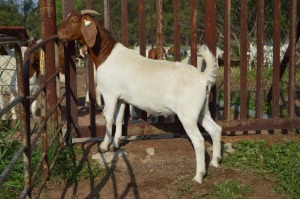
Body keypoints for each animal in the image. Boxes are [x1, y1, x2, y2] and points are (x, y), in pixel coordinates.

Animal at [58, 9, 221, 183]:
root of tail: (202, 77)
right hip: (202, 110)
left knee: (198, 140)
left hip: (187, 114)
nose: (59, 35)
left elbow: (108, 117)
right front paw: (116, 143)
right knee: (215, 129)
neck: (107, 55)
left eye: (74, 21)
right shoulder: (121, 98)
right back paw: (215, 162)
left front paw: (103, 145)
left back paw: (198, 175)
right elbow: (119, 118)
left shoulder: (110, 94)